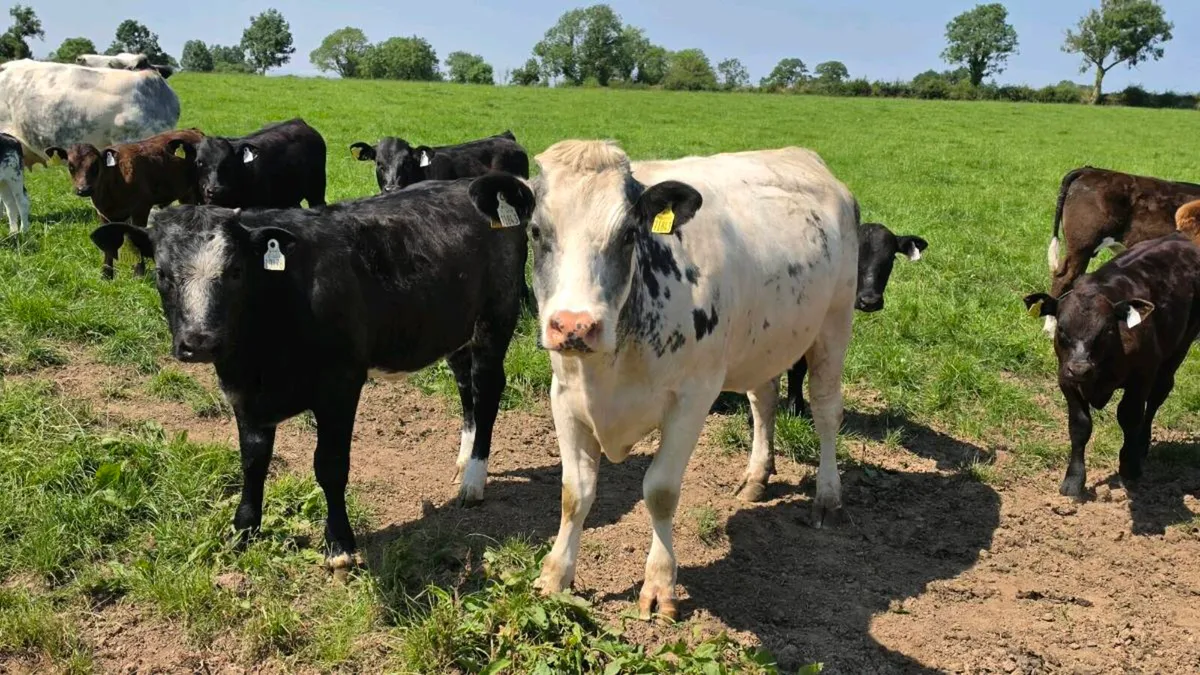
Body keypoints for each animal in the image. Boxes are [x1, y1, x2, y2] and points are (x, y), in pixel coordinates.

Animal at [45, 128, 204, 278]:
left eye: (95, 165)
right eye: (71, 166)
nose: (83, 189)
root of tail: (193, 131)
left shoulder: (141, 209)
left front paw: (138, 273)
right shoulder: (103, 214)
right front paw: (106, 274)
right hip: (186, 195)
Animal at [87, 173, 533, 569]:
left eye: (235, 271)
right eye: (162, 274)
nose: (200, 342)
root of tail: (472, 182)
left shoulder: (340, 384)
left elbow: (330, 465)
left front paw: (339, 543)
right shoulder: (243, 393)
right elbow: (253, 461)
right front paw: (244, 529)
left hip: (496, 317)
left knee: (487, 388)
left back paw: (473, 479)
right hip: (453, 329)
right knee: (465, 386)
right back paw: (462, 459)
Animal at [527, 140, 858, 620]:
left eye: (628, 234)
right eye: (535, 231)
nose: (574, 326)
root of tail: (803, 155)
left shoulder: (693, 398)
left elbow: (661, 491)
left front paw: (659, 584)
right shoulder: (565, 396)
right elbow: (575, 492)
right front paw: (555, 575)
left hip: (834, 322)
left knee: (827, 410)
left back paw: (829, 498)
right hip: (761, 341)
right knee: (764, 400)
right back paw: (757, 476)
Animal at [1025, 232, 1200, 500]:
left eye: (1106, 329)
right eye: (1061, 328)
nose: (1080, 368)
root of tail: (1179, 237)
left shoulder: (1142, 376)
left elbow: (1130, 416)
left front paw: (1129, 465)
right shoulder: (1065, 378)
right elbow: (1079, 426)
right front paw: (1074, 480)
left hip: (1178, 350)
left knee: (1156, 399)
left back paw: (1142, 445)